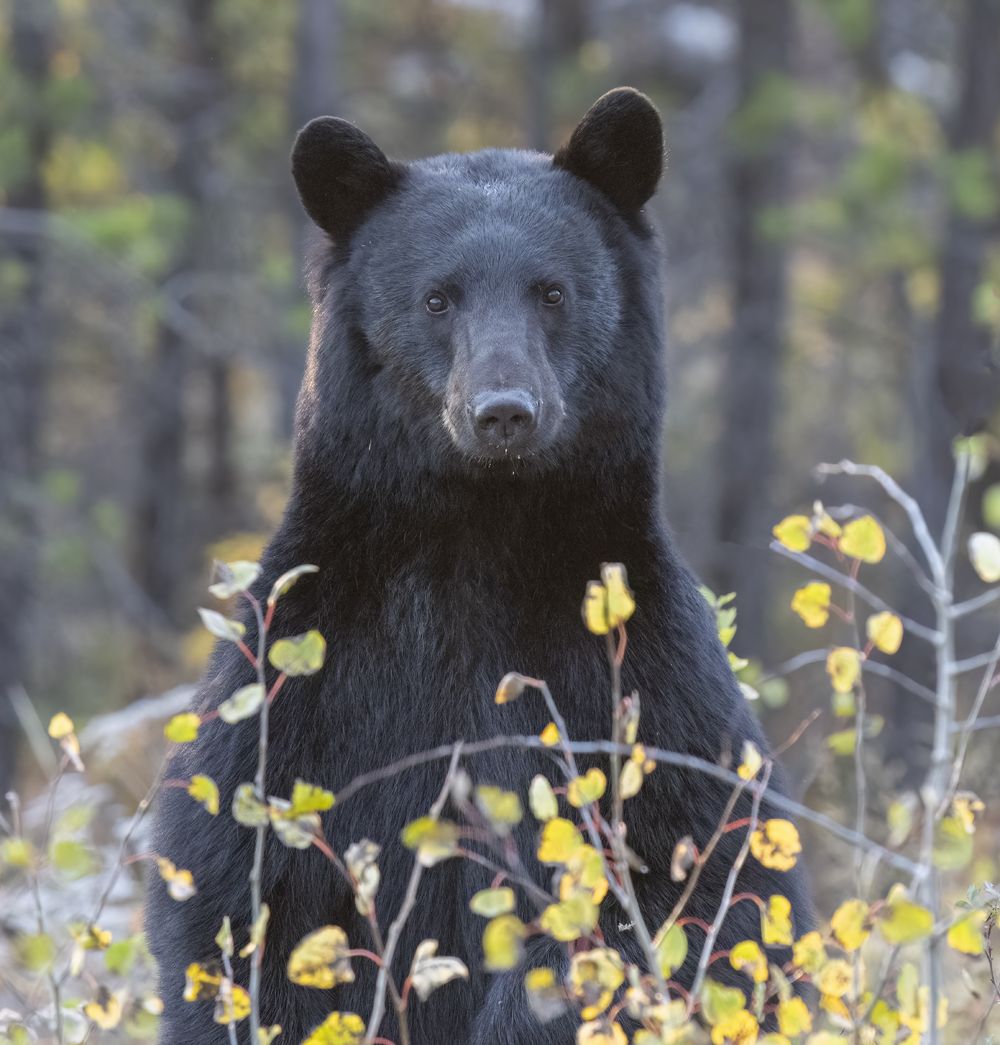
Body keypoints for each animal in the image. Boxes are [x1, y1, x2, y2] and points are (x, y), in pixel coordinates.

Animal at [147, 87, 812, 1045]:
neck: (475, 539)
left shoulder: (636, 687)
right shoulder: (302, 694)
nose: (504, 410)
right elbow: (246, 909)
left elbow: (677, 896)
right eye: (437, 297)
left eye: (553, 290)